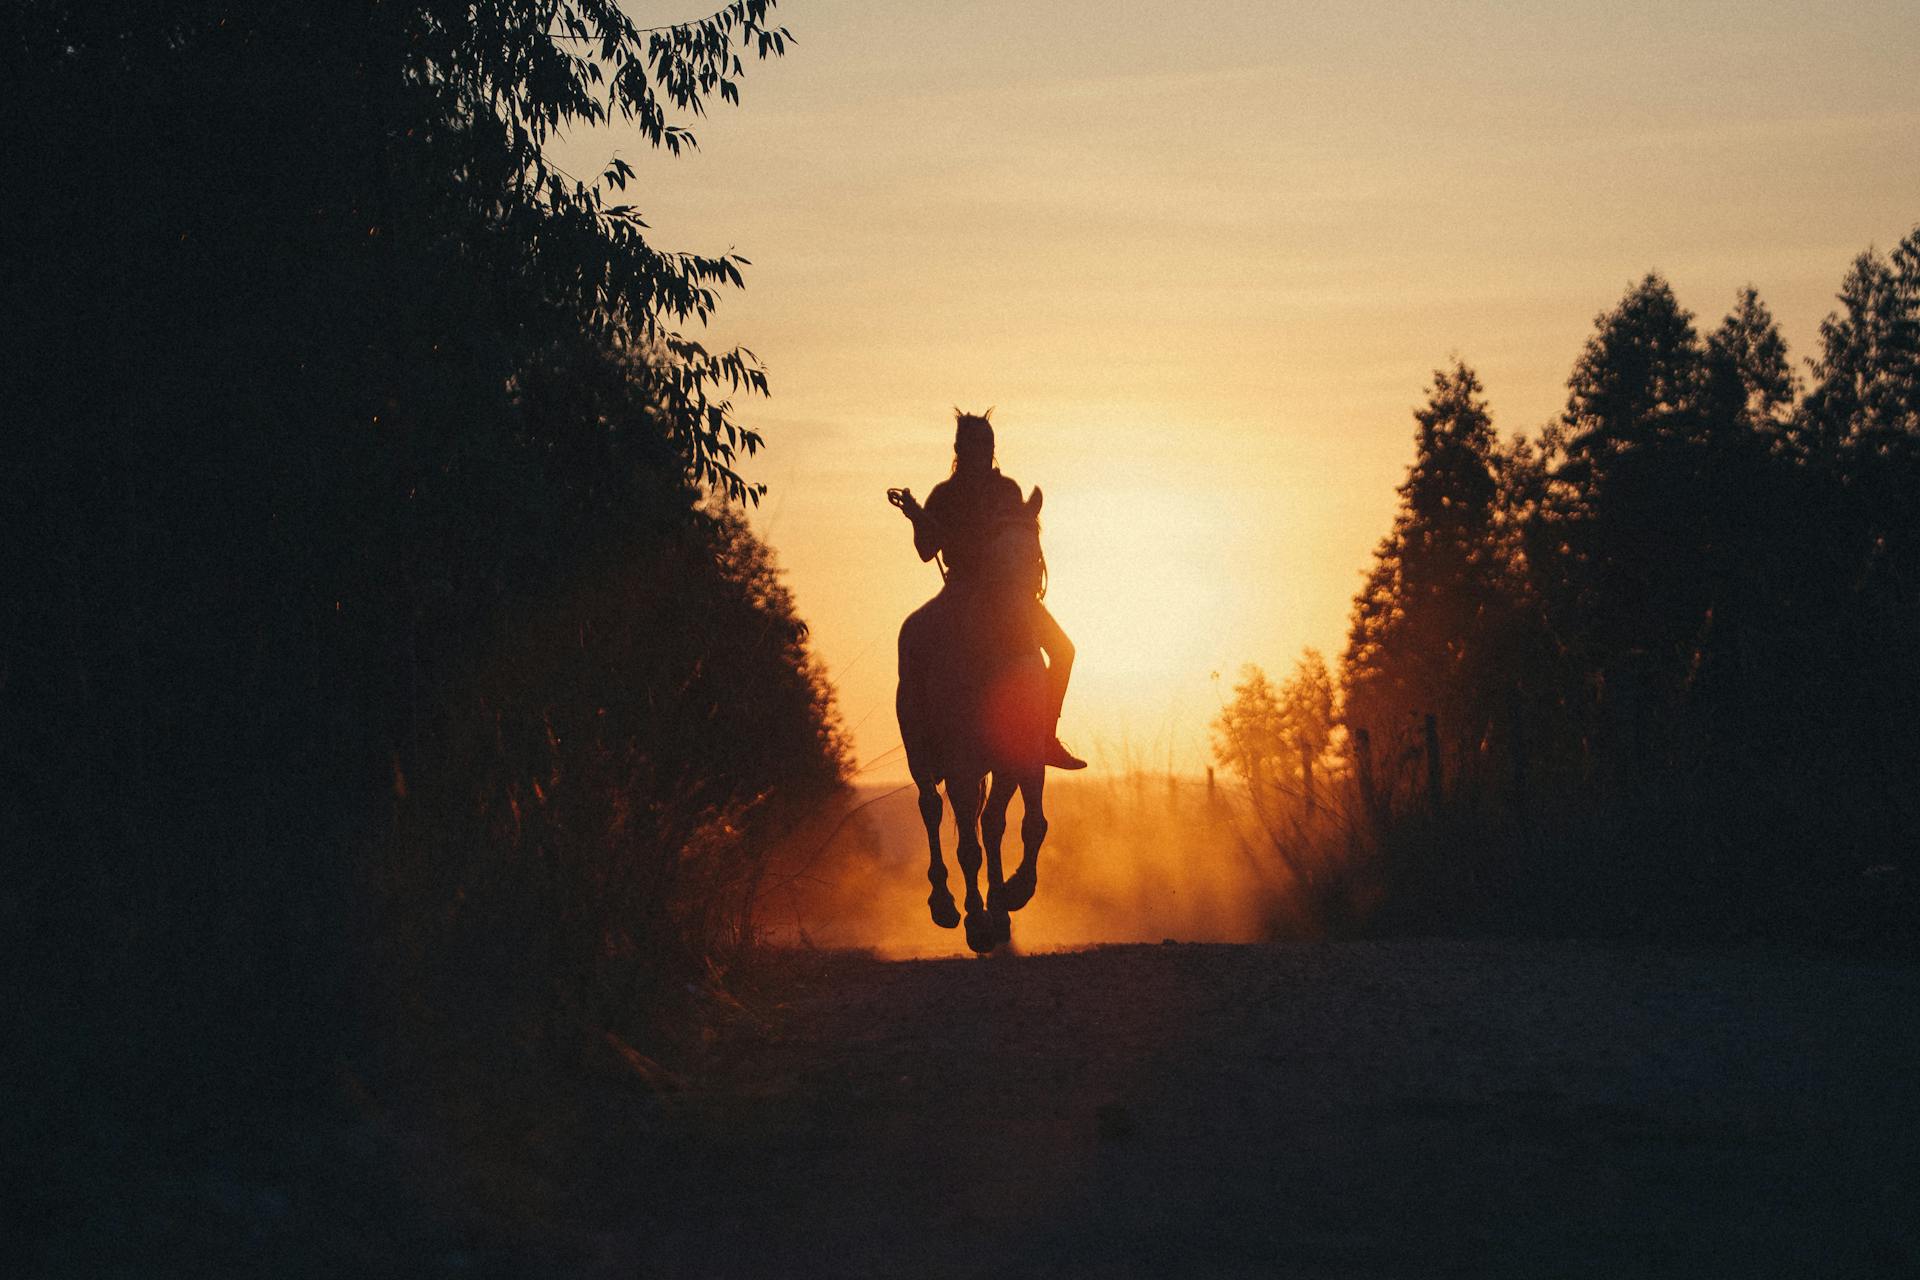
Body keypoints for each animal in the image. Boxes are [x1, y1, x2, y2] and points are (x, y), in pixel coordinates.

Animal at [894, 498, 1052, 951]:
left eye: (1035, 555)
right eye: (993, 555)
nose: (1021, 620)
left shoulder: (1017, 759)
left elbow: (1017, 825)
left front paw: (1010, 897)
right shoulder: (962, 766)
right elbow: (969, 846)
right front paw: (979, 920)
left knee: (983, 824)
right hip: (920, 755)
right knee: (931, 809)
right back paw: (945, 905)